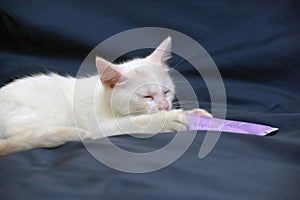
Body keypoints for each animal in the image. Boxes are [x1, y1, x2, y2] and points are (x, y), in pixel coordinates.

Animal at [0, 38, 211, 156]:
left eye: (166, 92)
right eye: (147, 96)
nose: (164, 107)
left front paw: (197, 114)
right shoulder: (99, 125)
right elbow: (137, 122)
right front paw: (169, 119)